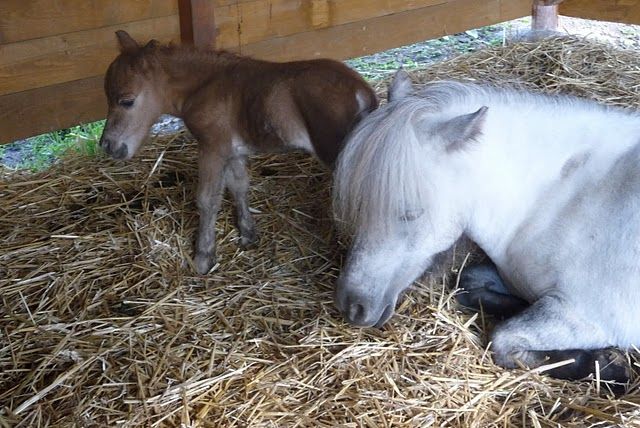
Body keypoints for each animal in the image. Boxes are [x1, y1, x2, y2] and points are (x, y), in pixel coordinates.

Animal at [99, 31, 377, 274]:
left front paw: (203, 258)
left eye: (127, 100)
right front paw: (248, 235)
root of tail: (363, 91)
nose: (107, 145)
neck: (204, 86)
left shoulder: (212, 147)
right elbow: (239, 186)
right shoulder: (232, 151)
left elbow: (208, 199)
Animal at [332, 69, 640, 383]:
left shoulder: (587, 315)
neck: (563, 199)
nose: (352, 306)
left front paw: (606, 365)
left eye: (410, 213)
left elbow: (502, 341)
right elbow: (468, 282)